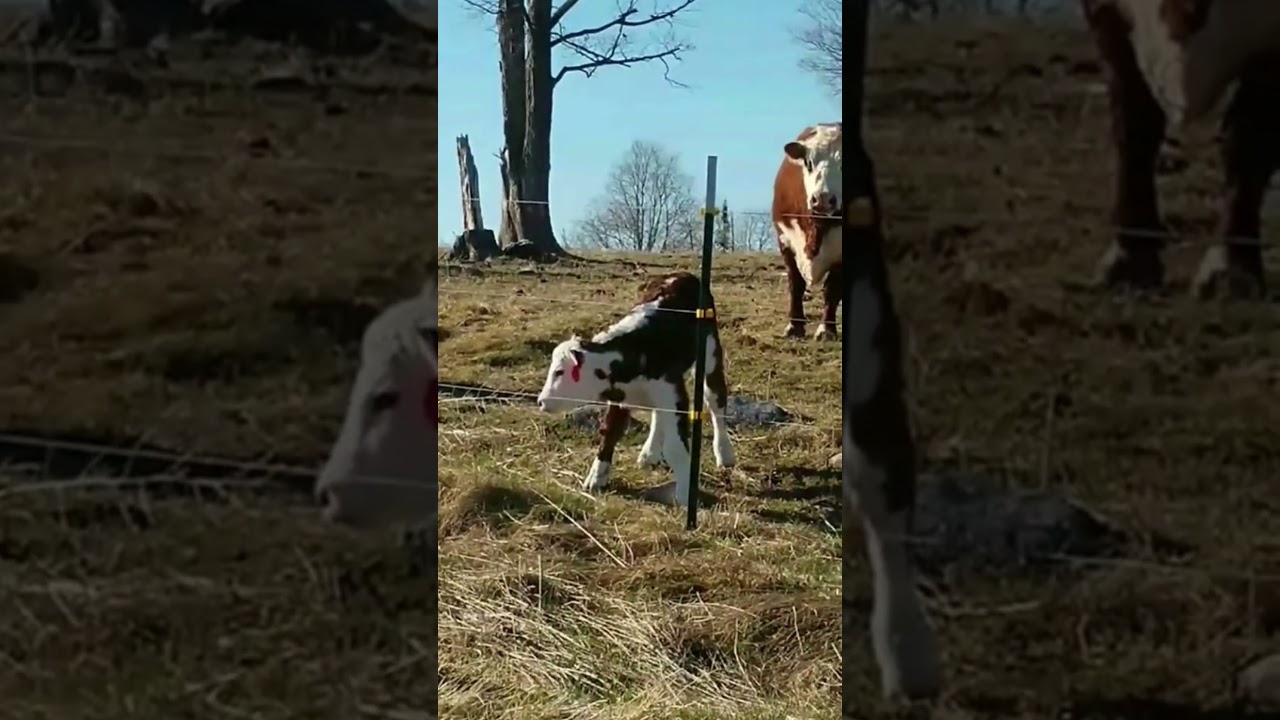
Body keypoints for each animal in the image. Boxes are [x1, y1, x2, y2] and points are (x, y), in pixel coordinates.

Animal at [773, 122, 843, 341]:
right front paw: (794, 326)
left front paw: (826, 330)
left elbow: (832, 289)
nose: (823, 199)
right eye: (808, 162)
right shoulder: (785, 240)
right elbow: (795, 284)